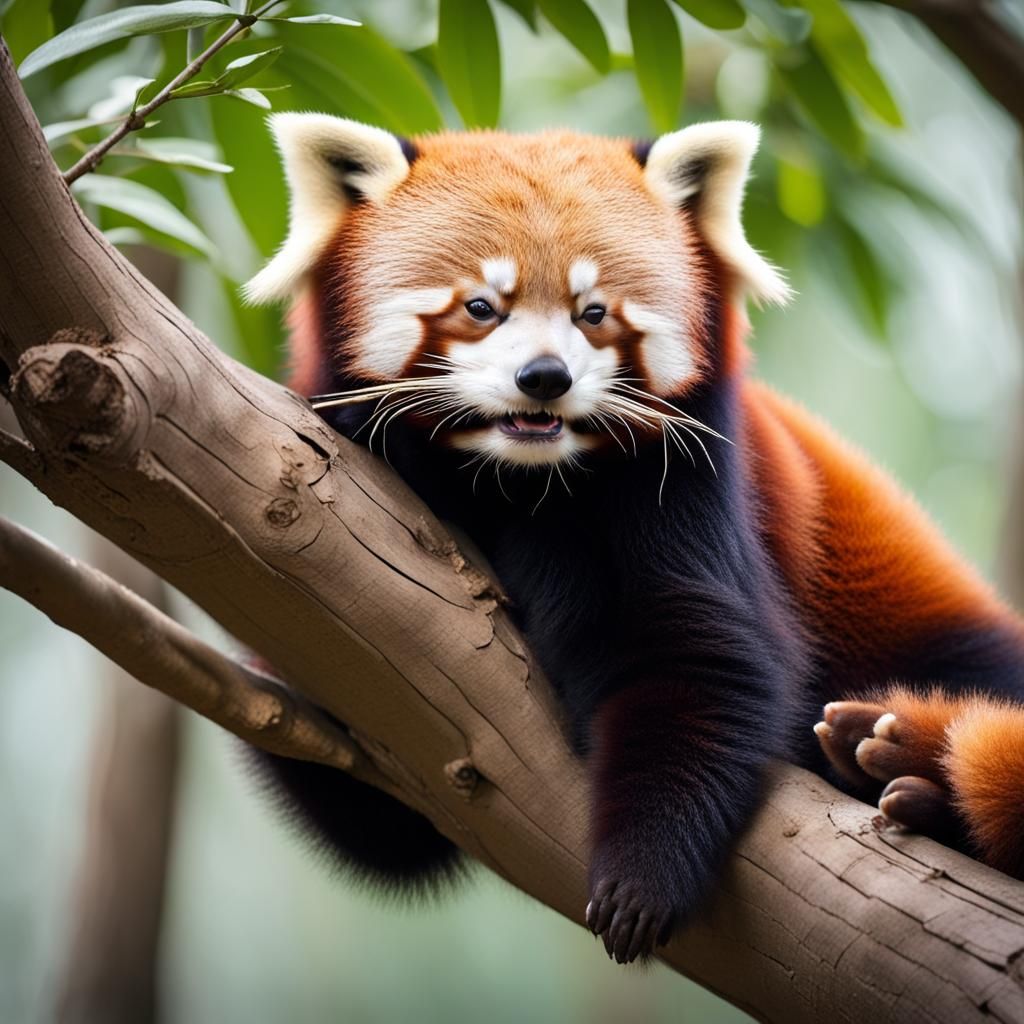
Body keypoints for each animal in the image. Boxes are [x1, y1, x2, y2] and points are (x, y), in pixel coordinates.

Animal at [244, 114, 1024, 964]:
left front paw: (642, 876)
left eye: (594, 312)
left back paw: (903, 762)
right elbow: (384, 822)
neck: (518, 477)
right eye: (481, 306)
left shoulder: (686, 481)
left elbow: (693, 652)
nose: (544, 378)